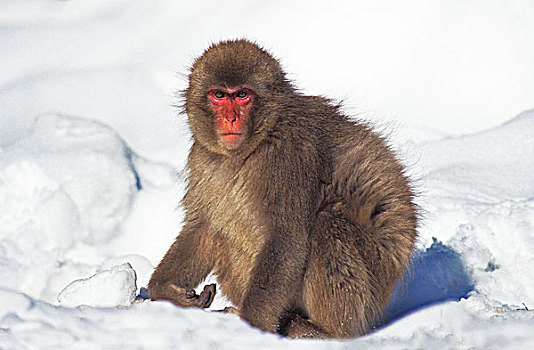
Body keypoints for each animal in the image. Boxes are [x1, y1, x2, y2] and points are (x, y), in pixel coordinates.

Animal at [149, 39, 420, 340]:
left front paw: (251, 327)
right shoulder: (203, 158)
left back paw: (322, 331)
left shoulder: (288, 156)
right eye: (219, 95)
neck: (255, 143)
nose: (230, 118)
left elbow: (286, 236)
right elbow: (203, 228)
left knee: (326, 224)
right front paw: (164, 290)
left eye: (242, 95)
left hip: (370, 285)